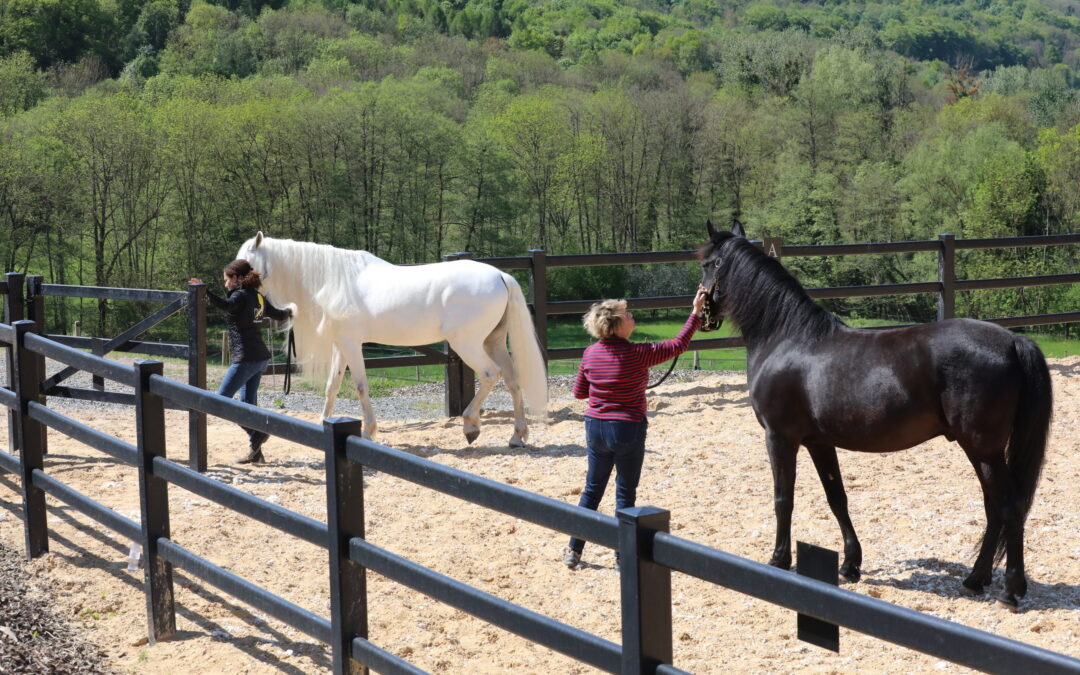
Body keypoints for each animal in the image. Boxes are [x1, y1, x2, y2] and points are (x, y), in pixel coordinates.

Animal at [236, 232, 548, 447]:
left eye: (246, 264)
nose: (231, 287)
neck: (334, 280)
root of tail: (500, 275)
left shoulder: (352, 345)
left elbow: (360, 386)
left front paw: (368, 431)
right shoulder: (342, 345)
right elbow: (332, 386)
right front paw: (326, 423)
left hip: (468, 345)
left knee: (490, 375)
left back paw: (471, 426)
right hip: (493, 342)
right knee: (513, 380)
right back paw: (517, 436)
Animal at [697, 220, 1052, 609]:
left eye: (707, 264)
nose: (701, 313)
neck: (786, 339)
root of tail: (1014, 341)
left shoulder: (780, 438)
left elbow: (783, 499)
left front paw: (778, 560)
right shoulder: (819, 443)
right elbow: (837, 498)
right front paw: (850, 564)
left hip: (983, 448)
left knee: (1010, 505)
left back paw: (1010, 589)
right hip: (984, 451)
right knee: (994, 507)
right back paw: (975, 579)